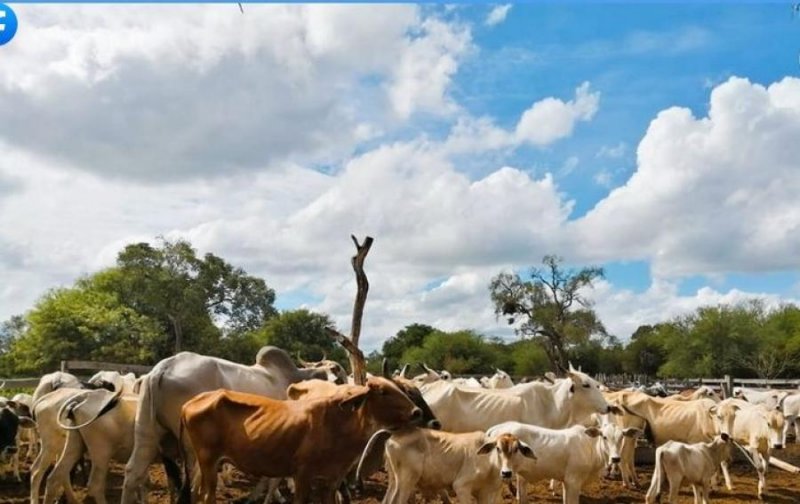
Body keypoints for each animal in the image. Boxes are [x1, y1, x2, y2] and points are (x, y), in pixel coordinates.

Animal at [179, 376, 422, 502]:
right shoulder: (302, 475)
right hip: (208, 461)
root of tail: (192, 401)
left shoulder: (332, 479)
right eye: (382, 392)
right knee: (205, 496)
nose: (417, 412)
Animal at [484, 422, 636, 504]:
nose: (616, 459)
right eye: (604, 437)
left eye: (622, 437)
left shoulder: (566, 482)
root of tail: (495, 428)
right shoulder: (573, 481)